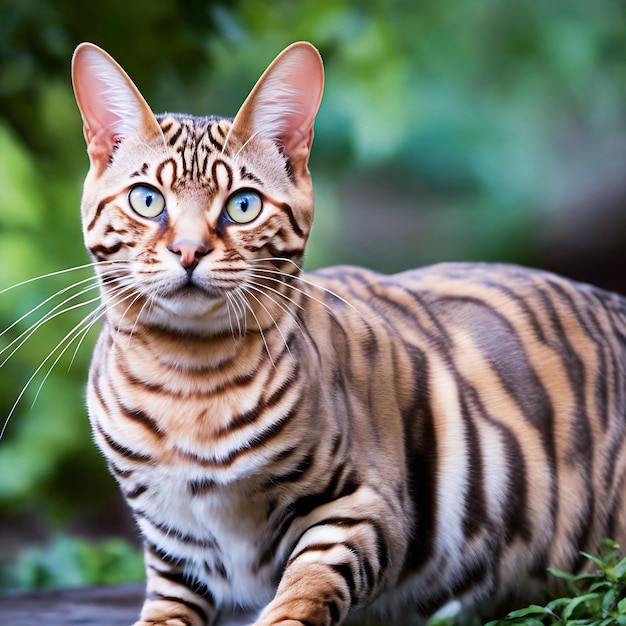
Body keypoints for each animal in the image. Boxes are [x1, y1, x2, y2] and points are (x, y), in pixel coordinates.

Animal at [67, 41, 624, 620]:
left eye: (243, 205)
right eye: (147, 199)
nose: (190, 250)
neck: (188, 377)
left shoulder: (362, 510)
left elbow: (304, 592)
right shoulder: (176, 550)